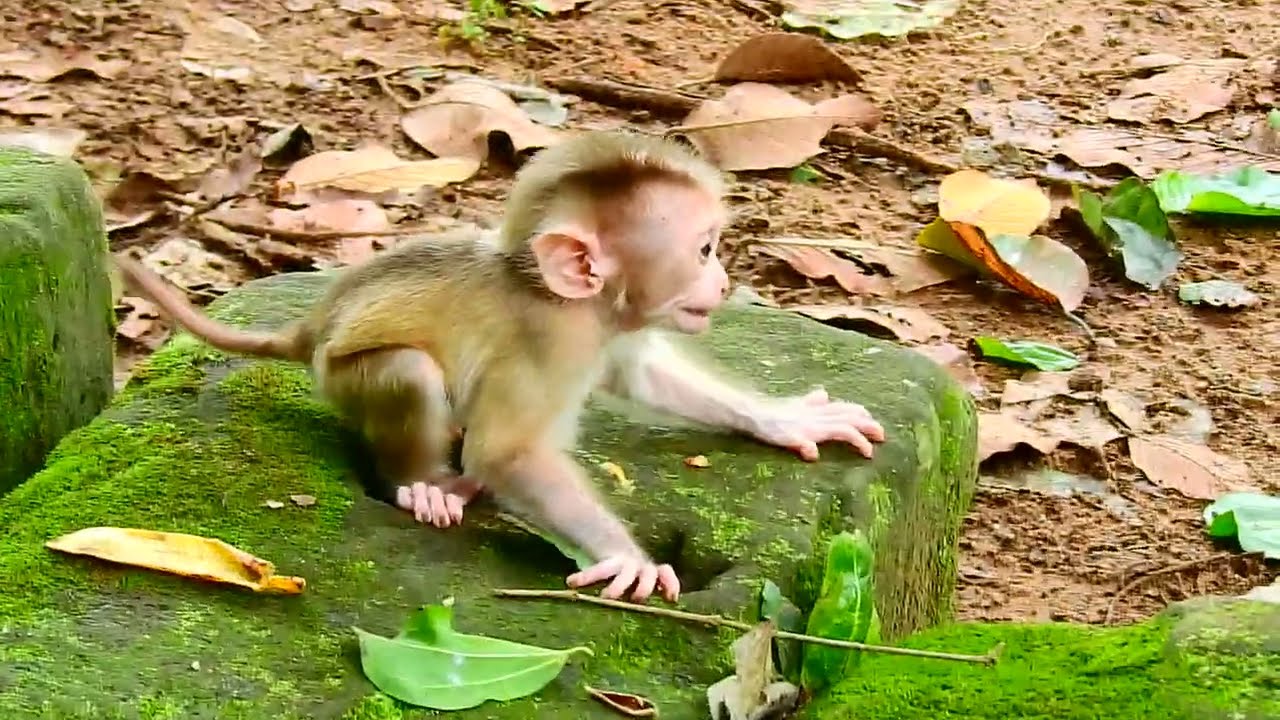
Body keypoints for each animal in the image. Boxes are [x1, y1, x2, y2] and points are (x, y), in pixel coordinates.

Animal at [114, 130, 886, 604]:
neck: (574, 300)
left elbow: (639, 376)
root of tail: (314, 324)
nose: (722, 283)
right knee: (411, 373)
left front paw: (786, 419)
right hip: (346, 372)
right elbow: (509, 451)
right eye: (703, 249)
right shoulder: (550, 341)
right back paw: (425, 489)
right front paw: (627, 559)